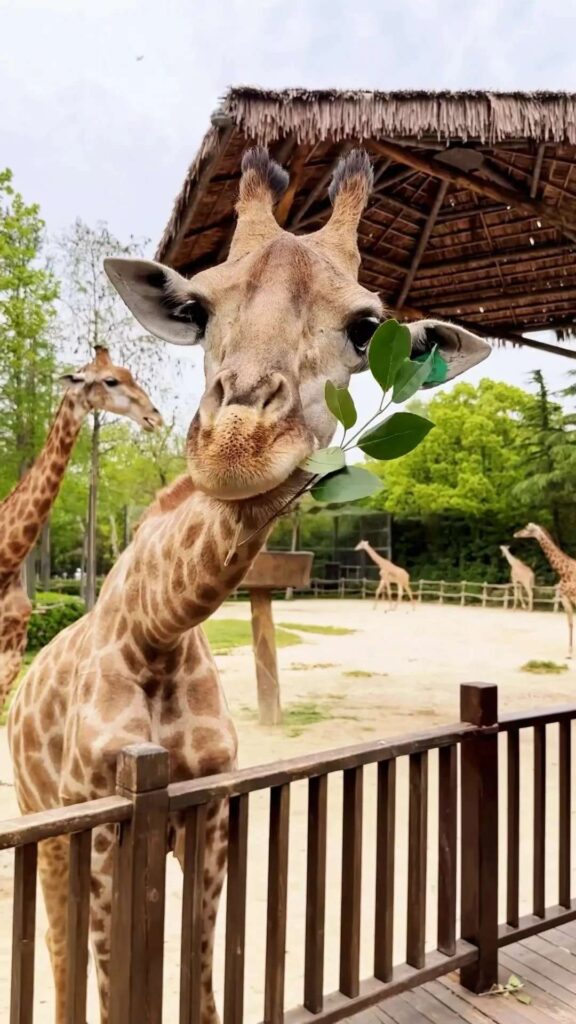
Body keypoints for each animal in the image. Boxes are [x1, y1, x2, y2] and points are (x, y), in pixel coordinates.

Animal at [514, 522, 576, 656]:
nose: (516, 534)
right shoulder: (566, 598)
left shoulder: (569, 597)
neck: (564, 572)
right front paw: (570, 652)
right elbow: (570, 623)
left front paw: (570, 652)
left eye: (527, 529)